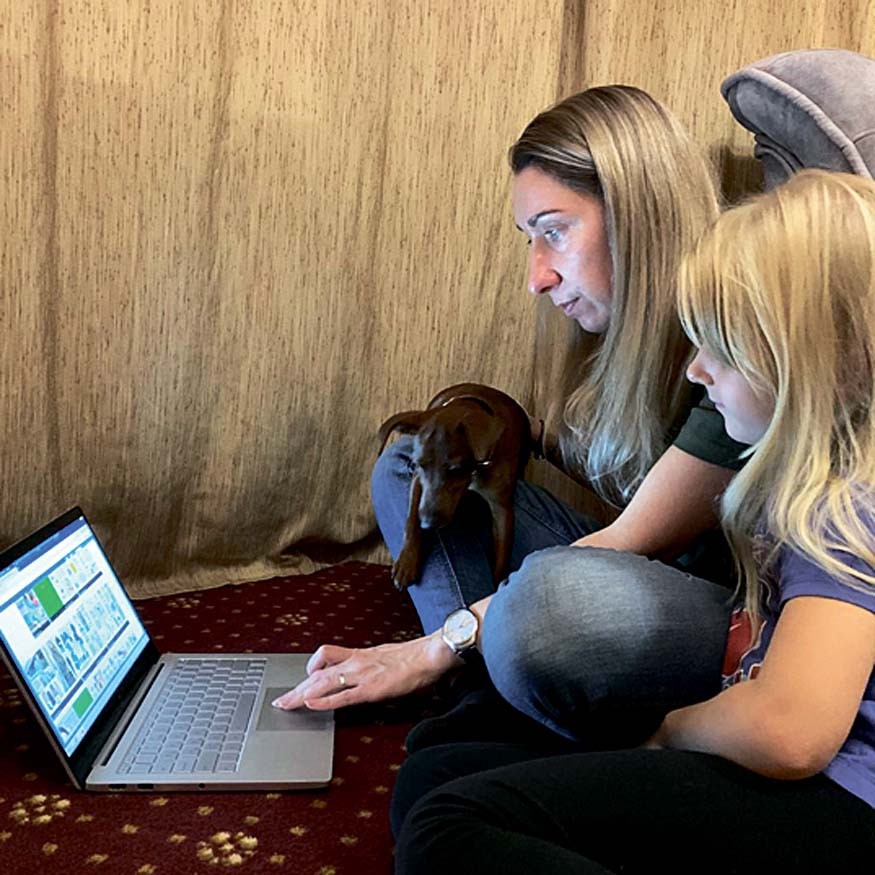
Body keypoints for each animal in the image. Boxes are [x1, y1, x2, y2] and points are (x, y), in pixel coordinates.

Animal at [377, 382, 532, 592]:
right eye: (418, 464)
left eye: (455, 469)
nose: (428, 523)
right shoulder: (418, 481)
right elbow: (411, 516)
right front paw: (407, 561)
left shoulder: (502, 507)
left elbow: (502, 552)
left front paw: (500, 584)